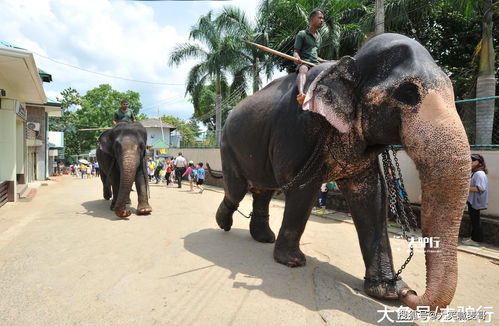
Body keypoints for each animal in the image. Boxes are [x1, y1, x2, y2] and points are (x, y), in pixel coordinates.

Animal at [216, 33, 472, 310]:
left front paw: (388, 290)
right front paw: (292, 262)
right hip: (228, 145)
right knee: (237, 190)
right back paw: (224, 224)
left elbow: (373, 197)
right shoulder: (298, 129)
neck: (348, 62)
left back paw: (263, 238)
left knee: (263, 191)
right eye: (407, 93)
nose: (410, 293)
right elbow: (304, 189)